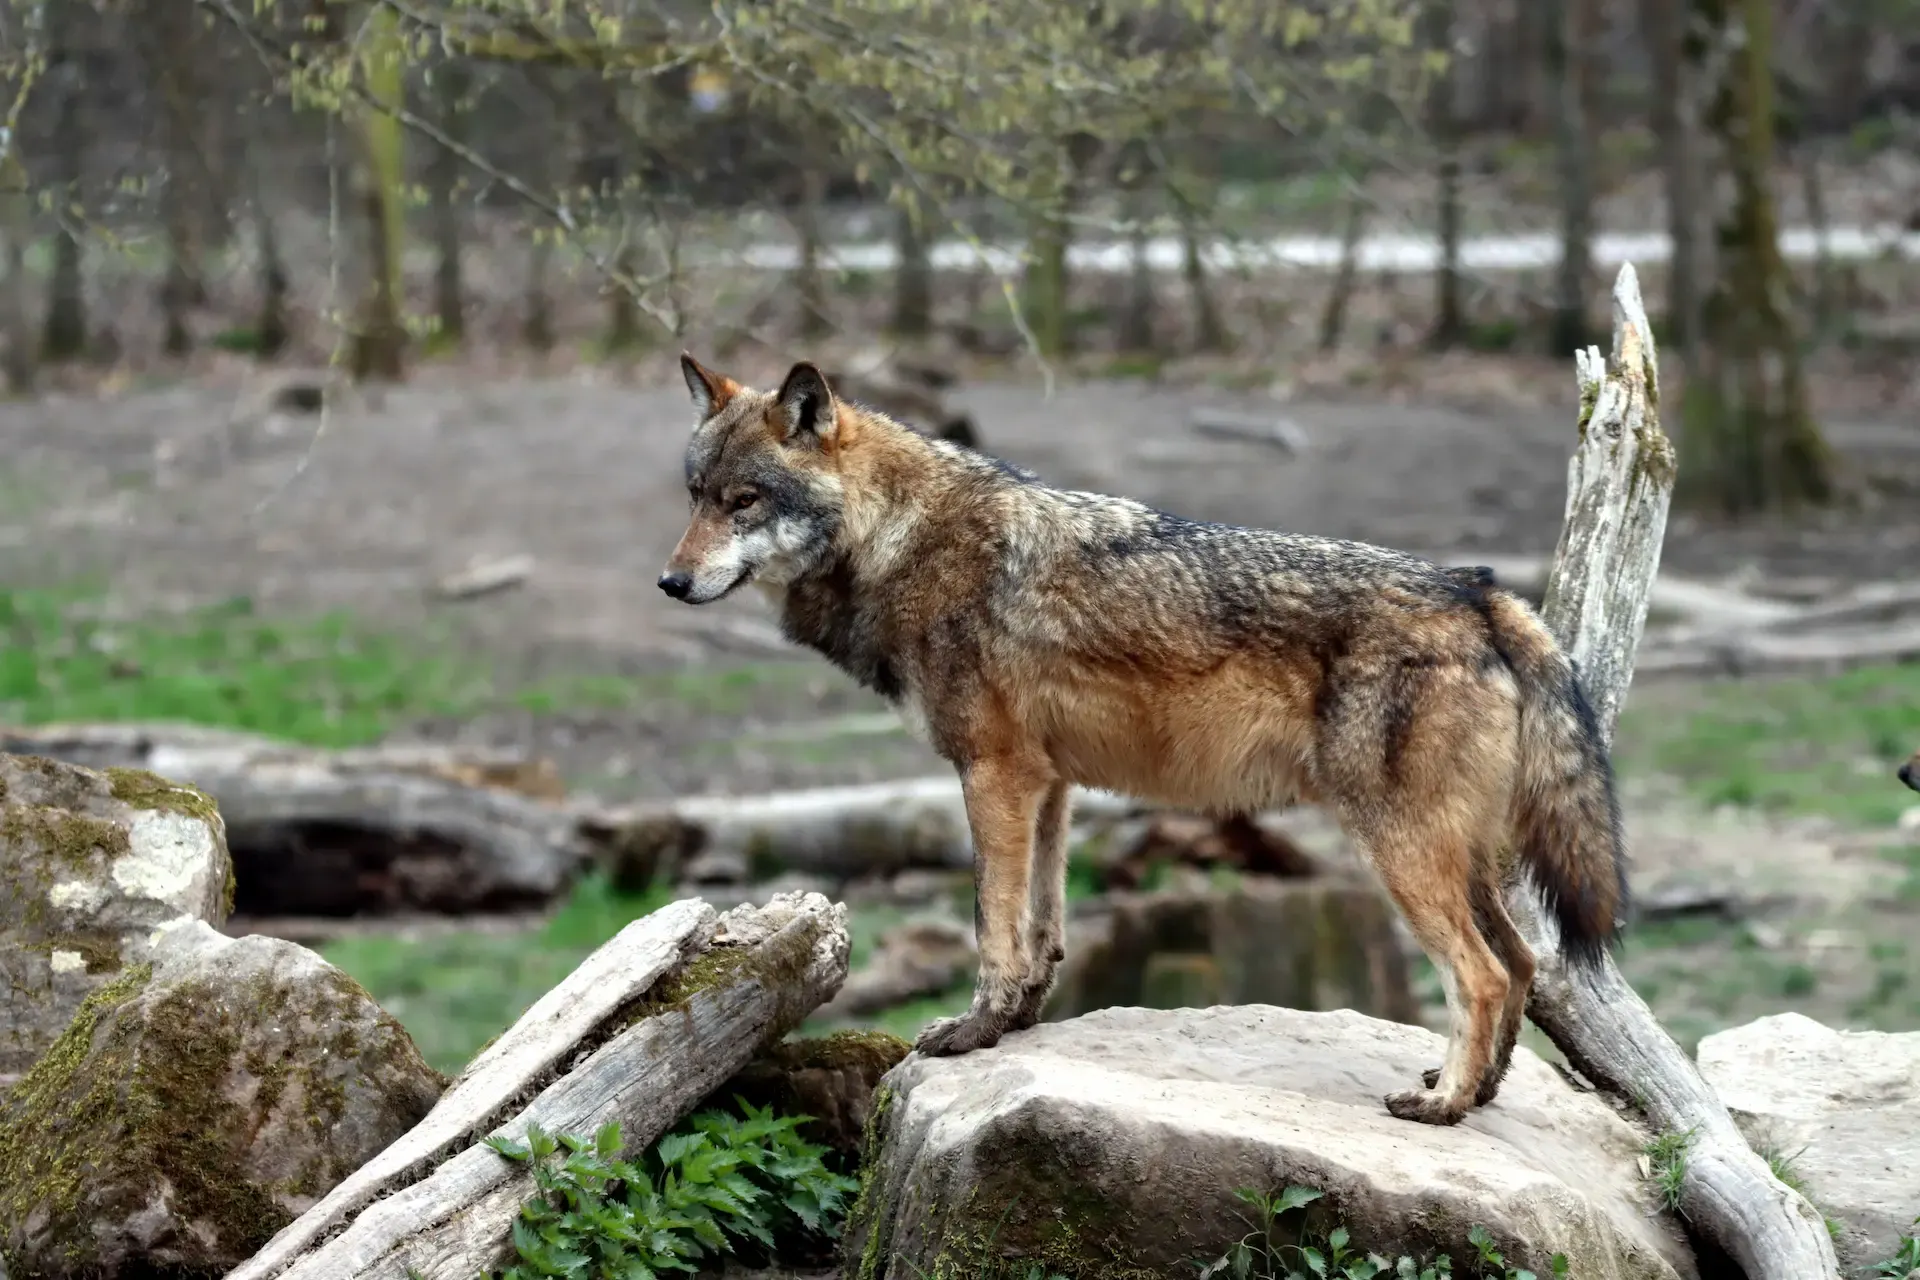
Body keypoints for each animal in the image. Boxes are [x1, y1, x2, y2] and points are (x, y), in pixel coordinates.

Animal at [659, 354, 1629, 1127]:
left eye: (745, 501)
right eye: (696, 497)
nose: (670, 582)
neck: (900, 539)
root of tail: (1481, 592)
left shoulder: (992, 774)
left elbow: (991, 927)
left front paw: (968, 1032)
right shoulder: (1047, 785)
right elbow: (1041, 927)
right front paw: (1015, 1024)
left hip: (1401, 853)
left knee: (1485, 974)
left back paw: (1443, 1105)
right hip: (1458, 859)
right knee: (1525, 961)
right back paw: (1481, 1091)